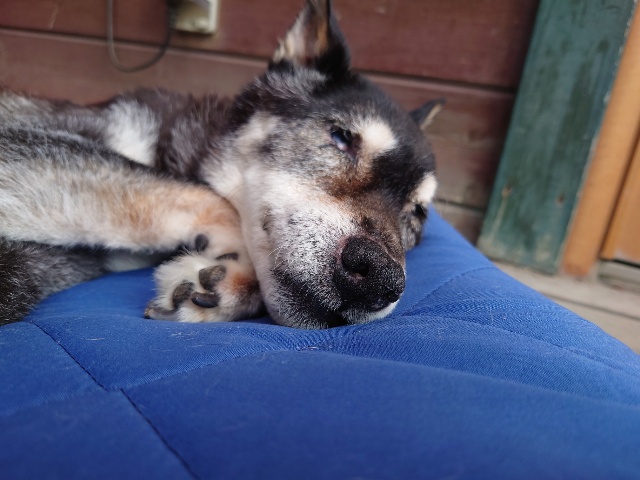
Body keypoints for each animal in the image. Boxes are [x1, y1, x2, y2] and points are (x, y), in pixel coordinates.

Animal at [0, 0, 440, 329]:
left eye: (417, 213)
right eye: (342, 138)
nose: (379, 279)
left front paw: (228, 283)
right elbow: (194, 195)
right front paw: (232, 262)